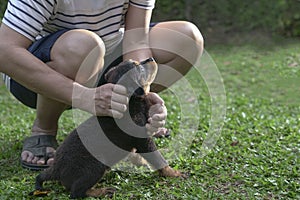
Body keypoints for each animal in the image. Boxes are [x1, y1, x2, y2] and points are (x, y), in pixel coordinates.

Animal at [32, 57, 183, 198]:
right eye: (140, 70)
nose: (150, 58)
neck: (131, 102)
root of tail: (55, 169)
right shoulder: (143, 139)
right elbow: (158, 159)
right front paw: (174, 173)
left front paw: (141, 163)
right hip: (95, 165)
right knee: (77, 191)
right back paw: (102, 191)